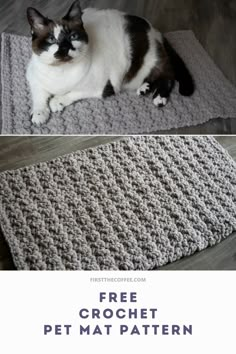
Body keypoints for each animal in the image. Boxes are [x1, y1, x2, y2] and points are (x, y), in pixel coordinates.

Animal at [26, 0, 195, 125]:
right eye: (51, 40)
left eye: (73, 36)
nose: (65, 48)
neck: (61, 71)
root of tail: (154, 29)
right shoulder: (33, 78)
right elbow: (39, 96)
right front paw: (39, 114)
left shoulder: (101, 88)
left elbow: (73, 93)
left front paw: (57, 102)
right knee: (153, 77)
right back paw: (144, 89)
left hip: (148, 62)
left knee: (168, 74)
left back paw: (159, 97)